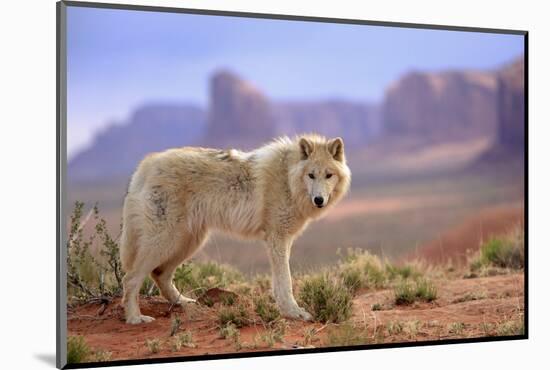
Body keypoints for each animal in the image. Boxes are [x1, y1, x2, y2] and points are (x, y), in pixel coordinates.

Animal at [121, 134, 354, 324]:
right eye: (311, 175)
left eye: (329, 175)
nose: (319, 200)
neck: (288, 178)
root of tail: (146, 164)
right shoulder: (277, 238)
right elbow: (285, 281)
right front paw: (294, 312)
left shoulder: (283, 240)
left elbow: (280, 282)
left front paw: (288, 311)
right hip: (167, 241)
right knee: (130, 279)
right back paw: (135, 318)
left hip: (188, 242)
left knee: (160, 274)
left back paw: (184, 302)